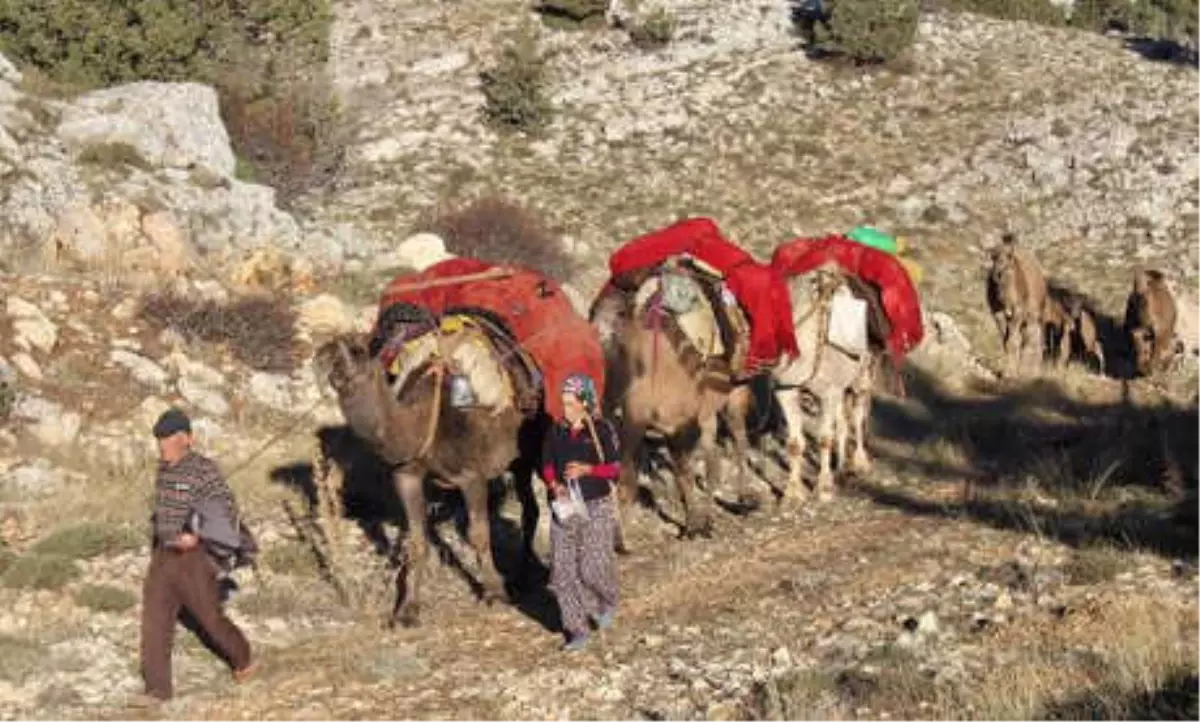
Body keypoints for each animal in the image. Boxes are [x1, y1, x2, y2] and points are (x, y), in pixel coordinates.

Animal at [319, 323, 544, 628]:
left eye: (364, 354)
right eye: (334, 360)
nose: (340, 376)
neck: (421, 423)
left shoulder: (472, 476)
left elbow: (479, 534)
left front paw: (495, 593)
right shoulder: (406, 476)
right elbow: (417, 543)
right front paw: (407, 611)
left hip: (527, 456)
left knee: (533, 508)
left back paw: (522, 578)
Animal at [984, 231, 1051, 376]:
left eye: (1010, 256)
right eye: (993, 256)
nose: (997, 274)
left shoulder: (1018, 311)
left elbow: (1013, 341)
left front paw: (1010, 373)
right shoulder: (997, 312)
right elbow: (1006, 341)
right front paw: (1007, 371)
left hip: (1035, 316)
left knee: (1032, 340)